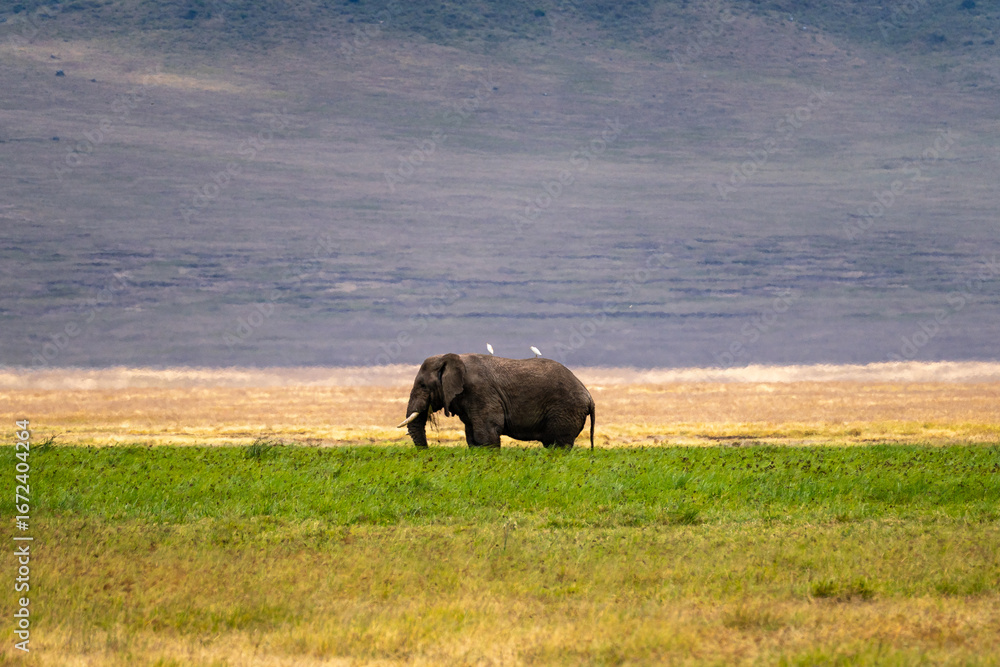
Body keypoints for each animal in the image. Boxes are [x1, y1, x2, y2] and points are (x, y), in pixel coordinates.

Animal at [397, 353, 596, 449]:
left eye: (423, 385)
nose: (428, 452)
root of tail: (589, 397)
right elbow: (472, 436)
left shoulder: (480, 391)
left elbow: (486, 432)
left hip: (566, 410)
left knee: (558, 445)